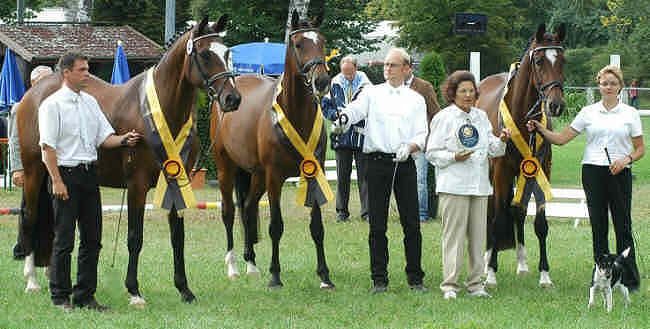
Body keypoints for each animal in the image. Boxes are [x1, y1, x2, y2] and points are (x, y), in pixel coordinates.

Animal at [15, 14, 240, 302]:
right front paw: (134, 291)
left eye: (227, 53)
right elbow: (135, 237)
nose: (233, 98)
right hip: (34, 170)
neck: (163, 112)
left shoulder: (177, 182)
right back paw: (31, 280)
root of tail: (34, 93)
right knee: (29, 216)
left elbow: (177, 237)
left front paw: (184, 289)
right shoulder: (137, 184)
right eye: (204, 54)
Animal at [210, 10, 334, 288]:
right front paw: (275, 276)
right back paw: (233, 267)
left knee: (248, 208)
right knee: (229, 212)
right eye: (298, 44)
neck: (294, 115)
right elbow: (276, 226)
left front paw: (325, 277)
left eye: (322, 42)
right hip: (226, 169)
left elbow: (318, 227)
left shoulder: (314, 172)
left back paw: (252, 264)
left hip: (256, 175)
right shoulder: (275, 177)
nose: (321, 81)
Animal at [474, 23, 564, 288]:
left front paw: (545, 275)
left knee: (518, 212)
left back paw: (522, 264)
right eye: (539, 61)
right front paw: (491, 274)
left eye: (563, 60)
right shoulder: (501, 171)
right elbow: (496, 218)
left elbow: (539, 223)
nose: (556, 105)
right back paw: (486, 261)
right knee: (492, 210)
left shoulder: (541, 169)